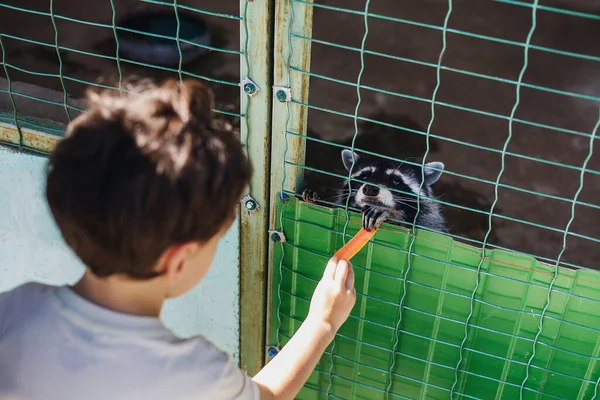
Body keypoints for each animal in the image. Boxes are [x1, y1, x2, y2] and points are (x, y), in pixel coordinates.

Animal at [302, 149, 442, 231]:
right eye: (365, 176)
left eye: (395, 181)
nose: (370, 189)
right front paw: (314, 200)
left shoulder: (428, 220)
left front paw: (390, 213)